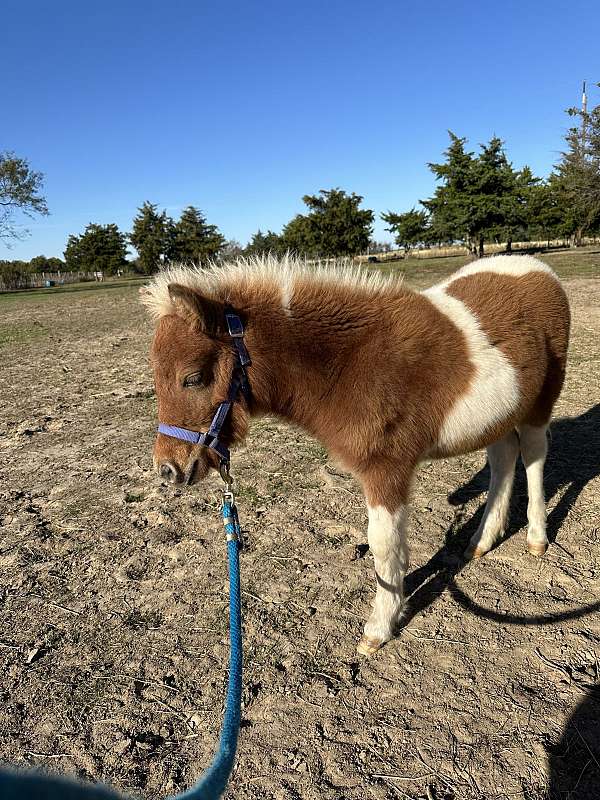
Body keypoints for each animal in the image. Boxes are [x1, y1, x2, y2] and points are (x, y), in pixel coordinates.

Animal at [142, 254, 570, 656]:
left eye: (193, 378)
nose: (168, 470)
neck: (352, 363)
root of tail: (537, 267)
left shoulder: (387, 470)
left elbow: (385, 548)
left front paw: (378, 629)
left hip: (539, 404)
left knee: (533, 455)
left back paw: (536, 538)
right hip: (500, 414)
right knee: (503, 457)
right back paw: (482, 540)